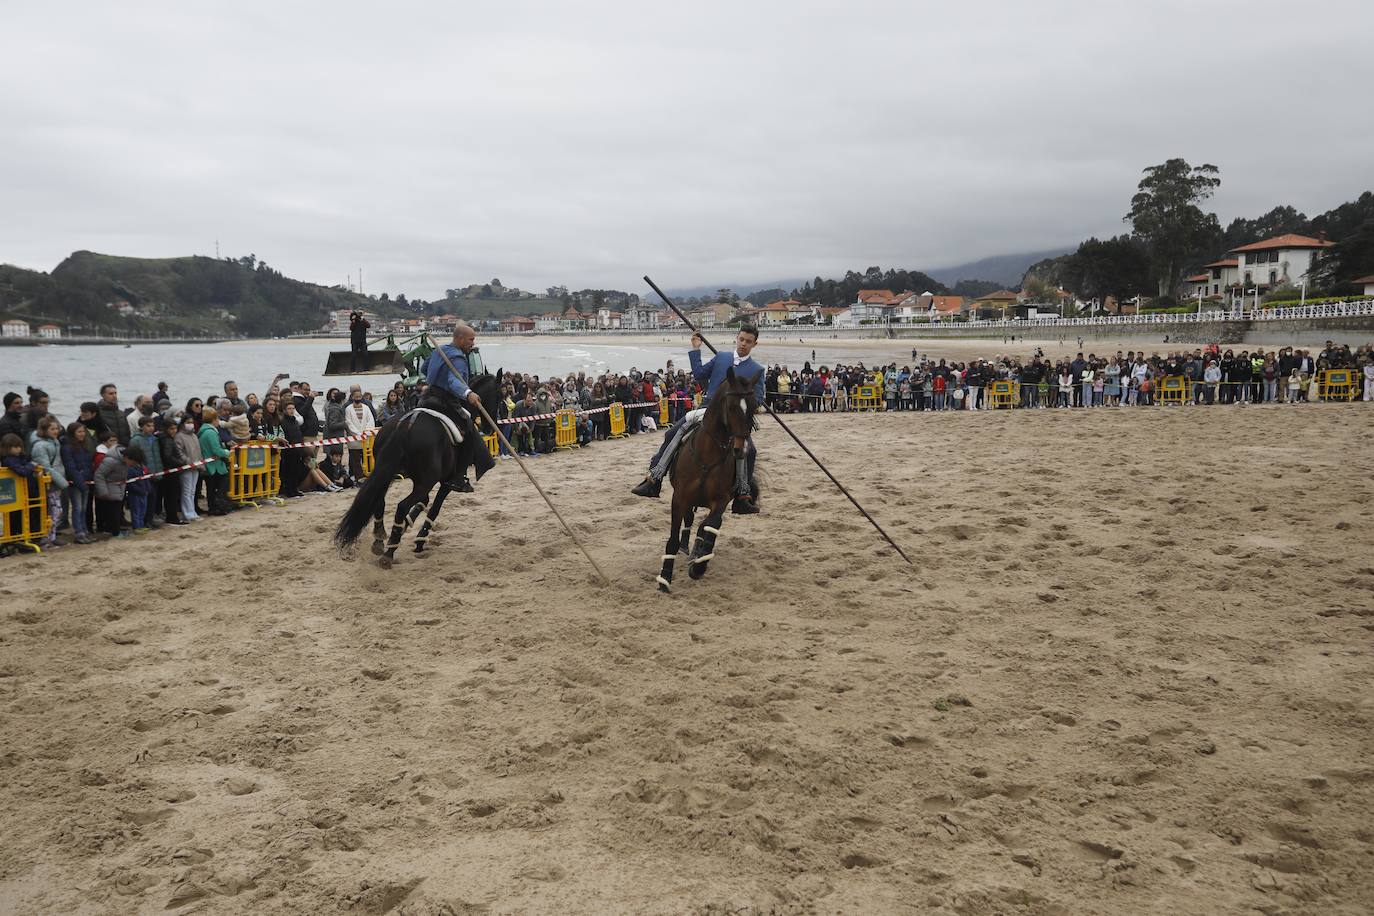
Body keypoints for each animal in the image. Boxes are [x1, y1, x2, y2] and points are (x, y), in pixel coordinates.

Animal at [332, 370, 505, 565]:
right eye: (499, 395)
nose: (490, 428)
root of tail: (405, 426)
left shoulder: (422, 480)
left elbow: (424, 502)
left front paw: (406, 525)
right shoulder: (444, 482)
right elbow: (434, 507)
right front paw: (419, 539)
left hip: (387, 473)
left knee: (379, 500)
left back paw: (380, 539)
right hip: (424, 481)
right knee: (401, 506)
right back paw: (389, 552)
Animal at [656, 370, 763, 596]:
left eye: (753, 406)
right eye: (731, 407)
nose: (741, 450)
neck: (708, 456)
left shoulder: (721, 500)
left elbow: (711, 524)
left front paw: (698, 567)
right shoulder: (679, 498)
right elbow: (674, 537)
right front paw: (664, 579)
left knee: (704, 525)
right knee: (689, 520)